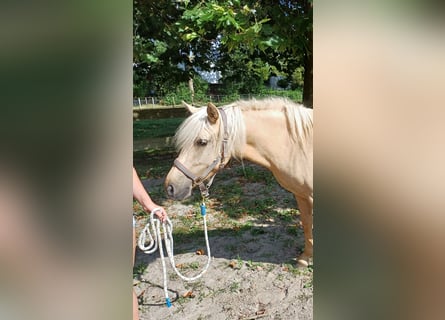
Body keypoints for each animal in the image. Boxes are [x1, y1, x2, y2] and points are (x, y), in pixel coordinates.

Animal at [165, 97, 314, 268]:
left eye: (202, 142)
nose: (170, 187)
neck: (300, 147)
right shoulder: (301, 195)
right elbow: (306, 225)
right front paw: (305, 259)